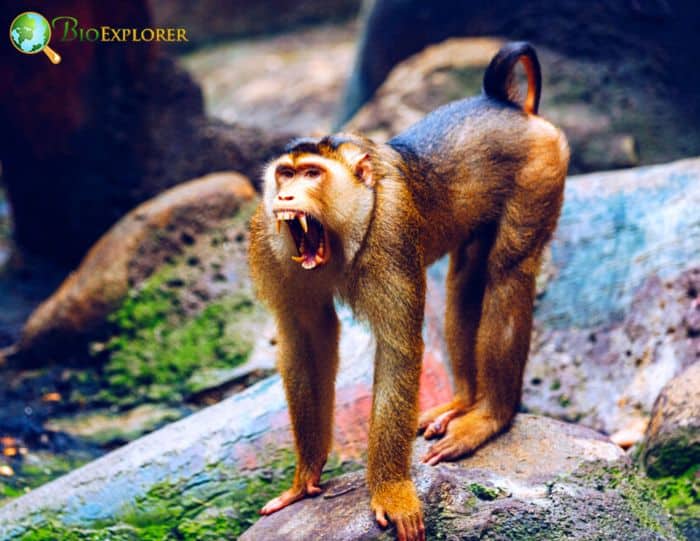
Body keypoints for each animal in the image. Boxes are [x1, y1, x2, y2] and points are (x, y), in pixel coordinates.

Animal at [249, 42, 568, 541]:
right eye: (285, 174)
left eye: (312, 174)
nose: (284, 197)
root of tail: (505, 104)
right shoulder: (269, 240)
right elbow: (307, 342)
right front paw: (306, 478)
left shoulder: (390, 229)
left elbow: (399, 350)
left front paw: (391, 490)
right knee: (466, 278)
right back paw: (463, 400)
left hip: (541, 167)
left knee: (508, 272)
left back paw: (490, 416)